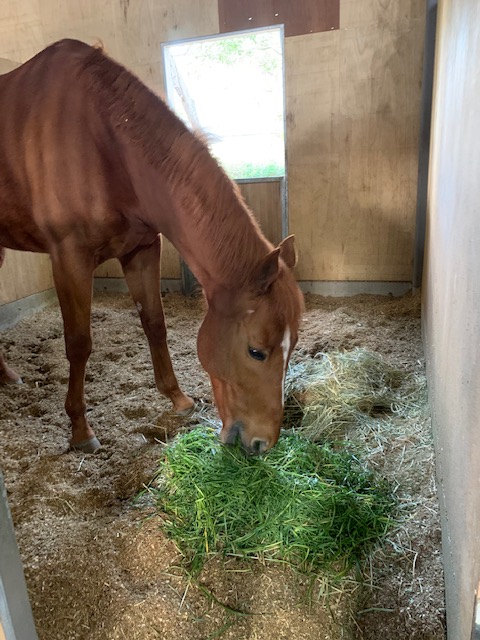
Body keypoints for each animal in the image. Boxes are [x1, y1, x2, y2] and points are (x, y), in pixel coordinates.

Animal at [0, 38, 302, 456]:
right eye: (256, 351)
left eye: (293, 346)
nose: (261, 443)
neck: (101, 139)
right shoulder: (69, 258)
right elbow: (79, 343)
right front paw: (80, 429)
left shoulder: (141, 249)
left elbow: (155, 324)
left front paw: (178, 399)